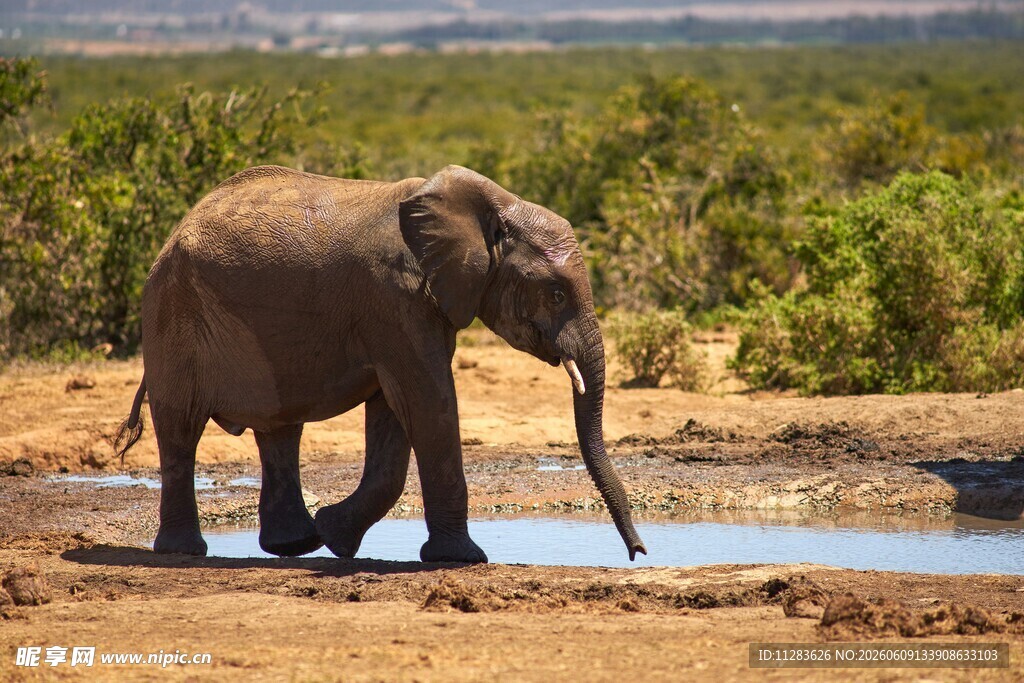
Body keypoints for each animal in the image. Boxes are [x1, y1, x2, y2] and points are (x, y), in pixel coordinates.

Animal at [115, 164, 647, 564]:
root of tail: (175, 232)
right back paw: (184, 551)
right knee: (181, 428)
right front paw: (462, 559)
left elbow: (396, 414)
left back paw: (296, 544)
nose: (639, 552)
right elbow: (428, 402)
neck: (489, 205)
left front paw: (335, 535)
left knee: (279, 430)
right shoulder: (393, 299)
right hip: (173, 315)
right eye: (556, 294)